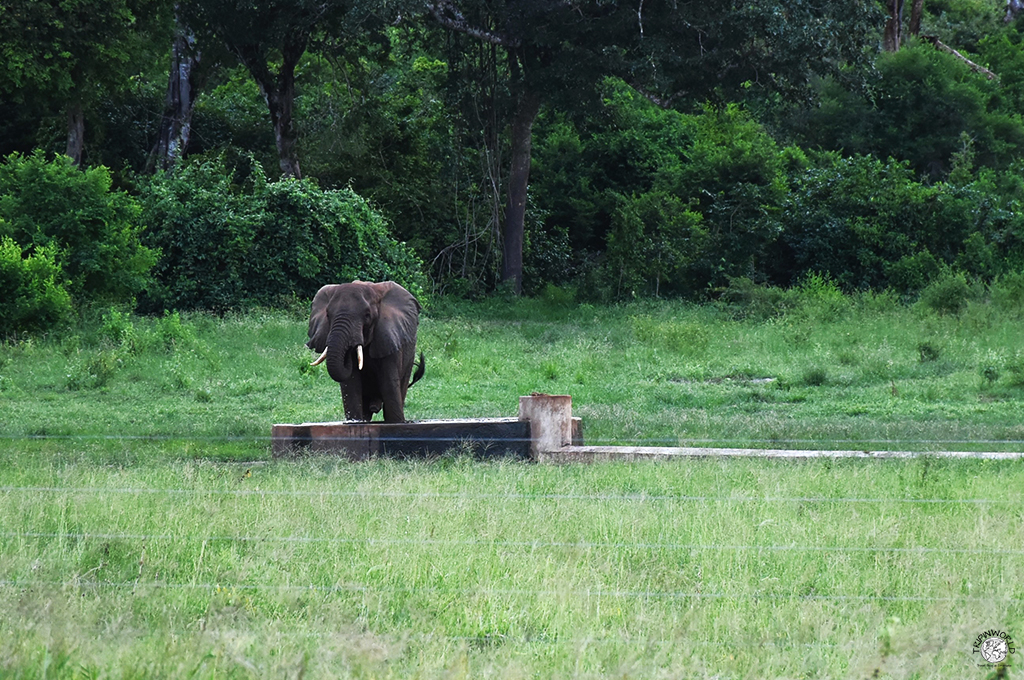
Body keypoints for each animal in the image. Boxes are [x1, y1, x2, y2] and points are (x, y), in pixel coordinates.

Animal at [306, 281, 424, 423]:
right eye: (328, 315)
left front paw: (397, 423)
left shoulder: (388, 338)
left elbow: (389, 384)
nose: (350, 347)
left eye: (367, 315)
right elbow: (351, 386)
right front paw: (356, 422)